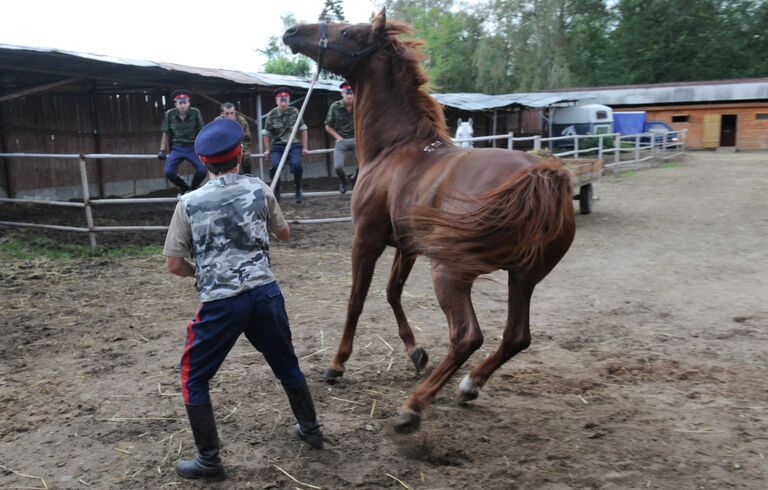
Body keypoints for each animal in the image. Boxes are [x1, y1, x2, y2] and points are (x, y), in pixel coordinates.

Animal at [284, 10, 572, 432]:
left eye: (348, 32)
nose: (291, 32)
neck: (394, 149)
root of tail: (543, 176)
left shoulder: (365, 240)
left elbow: (356, 299)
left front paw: (337, 364)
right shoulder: (407, 247)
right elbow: (392, 292)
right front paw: (415, 352)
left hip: (450, 273)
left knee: (468, 336)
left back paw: (414, 407)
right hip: (523, 277)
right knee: (516, 337)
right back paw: (468, 386)